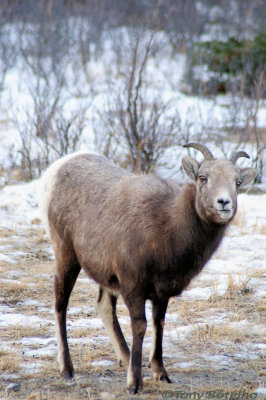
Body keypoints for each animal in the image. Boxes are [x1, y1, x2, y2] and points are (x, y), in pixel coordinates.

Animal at [38, 143, 256, 394]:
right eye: (203, 177)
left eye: (237, 182)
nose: (224, 203)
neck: (167, 227)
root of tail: (56, 170)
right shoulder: (133, 287)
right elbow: (140, 327)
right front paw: (134, 384)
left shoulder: (161, 292)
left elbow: (158, 325)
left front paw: (161, 374)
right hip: (67, 257)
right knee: (61, 304)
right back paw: (67, 370)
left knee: (104, 306)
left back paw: (125, 358)